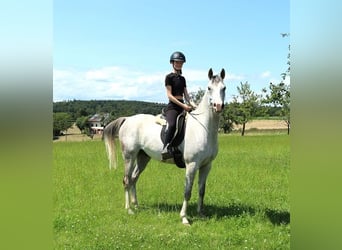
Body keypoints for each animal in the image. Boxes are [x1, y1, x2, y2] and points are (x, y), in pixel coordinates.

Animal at [104, 68, 227, 225]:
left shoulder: (206, 165)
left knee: (133, 179)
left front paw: (201, 213)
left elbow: (201, 190)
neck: (204, 128)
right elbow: (187, 191)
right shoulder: (192, 165)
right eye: (209, 88)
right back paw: (129, 209)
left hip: (143, 157)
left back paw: (136, 205)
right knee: (126, 180)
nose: (218, 106)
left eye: (224, 88)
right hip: (129, 157)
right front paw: (184, 218)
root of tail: (127, 119)